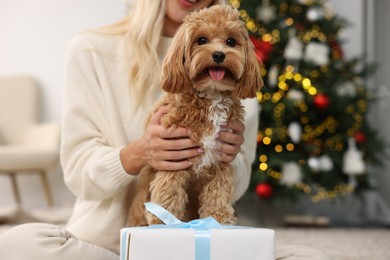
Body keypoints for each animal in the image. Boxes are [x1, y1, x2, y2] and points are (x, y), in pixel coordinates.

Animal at [128, 5, 262, 226]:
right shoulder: (172, 154)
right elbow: (169, 187)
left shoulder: (222, 156)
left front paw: (218, 216)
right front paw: (164, 217)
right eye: (201, 40)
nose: (218, 55)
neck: (211, 95)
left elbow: (219, 188)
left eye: (231, 41)